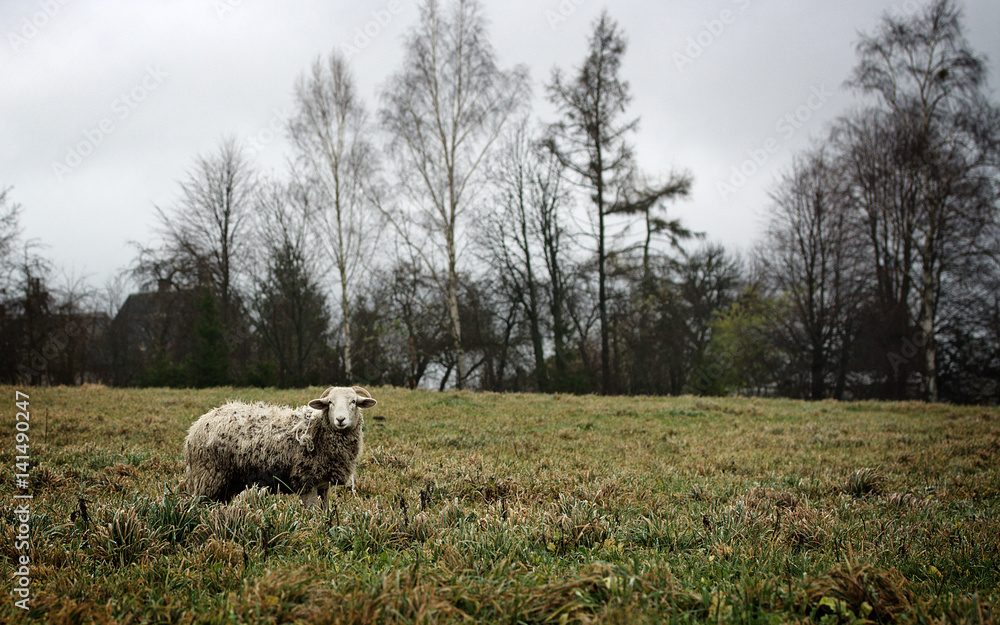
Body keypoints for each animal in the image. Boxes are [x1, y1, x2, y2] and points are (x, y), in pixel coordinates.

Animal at [183, 386, 377, 507]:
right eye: (330, 402)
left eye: (353, 401)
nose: (340, 419)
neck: (319, 430)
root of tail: (196, 426)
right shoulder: (306, 481)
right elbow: (314, 514)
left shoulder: (323, 484)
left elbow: (325, 511)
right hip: (208, 476)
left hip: (227, 482)